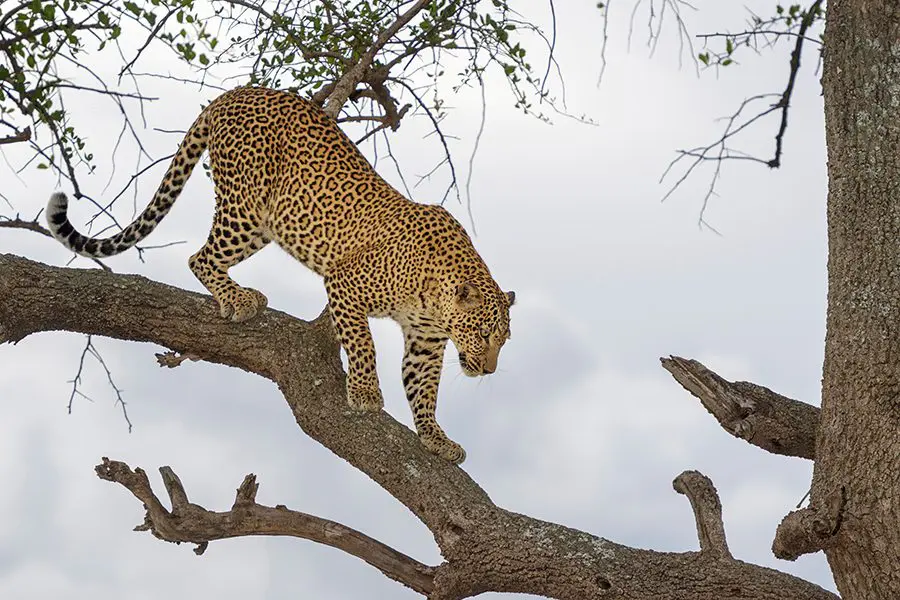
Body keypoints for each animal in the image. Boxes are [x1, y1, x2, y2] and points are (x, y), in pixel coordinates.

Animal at [47, 85, 512, 464]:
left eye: (502, 340)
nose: (489, 370)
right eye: (483, 332)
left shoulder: (425, 341)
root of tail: (235, 91)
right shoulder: (345, 284)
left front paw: (436, 438)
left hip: (262, 222)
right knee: (200, 257)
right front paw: (365, 392)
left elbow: (423, 388)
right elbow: (363, 345)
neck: (437, 300)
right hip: (246, 209)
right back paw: (237, 298)